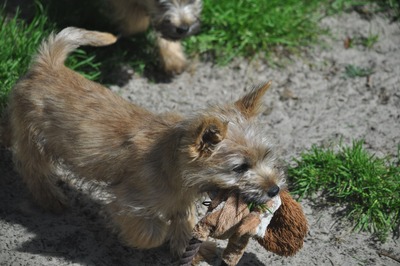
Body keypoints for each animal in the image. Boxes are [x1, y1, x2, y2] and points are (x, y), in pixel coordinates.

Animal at [1, 27, 286, 258]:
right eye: (240, 168)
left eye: (266, 156)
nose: (275, 190)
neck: (173, 166)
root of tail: (48, 64)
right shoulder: (127, 203)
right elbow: (152, 233)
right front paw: (164, 234)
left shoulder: (181, 202)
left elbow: (185, 223)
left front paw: (193, 248)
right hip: (35, 141)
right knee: (32, 169)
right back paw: (51, 199)